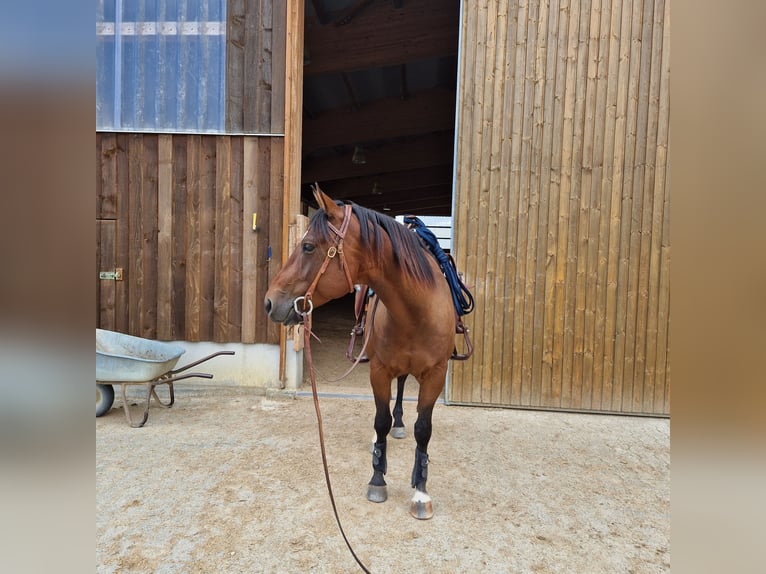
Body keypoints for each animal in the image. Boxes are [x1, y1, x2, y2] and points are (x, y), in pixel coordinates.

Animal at [264, 186, 457, 519]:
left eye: (308, 246)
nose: (269, 302)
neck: (416, 312)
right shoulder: (378, 369)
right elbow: (380, 420)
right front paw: (378, 478)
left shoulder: (435, 373)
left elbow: (423, 429)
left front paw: (420, 491)